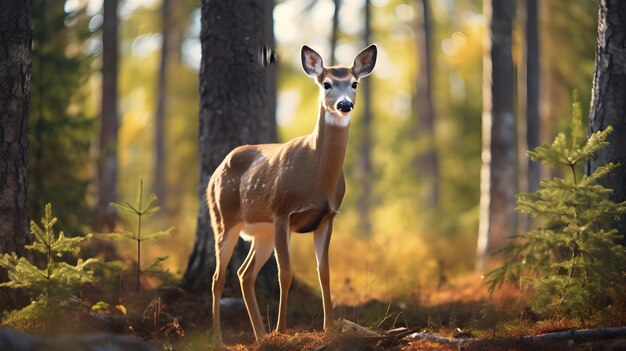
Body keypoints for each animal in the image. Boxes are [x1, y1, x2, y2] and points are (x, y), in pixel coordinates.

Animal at [208, 42, 376, 342]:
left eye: (354, 83)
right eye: (326, 84)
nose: (345, 105)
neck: (317, 180)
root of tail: (212, 176)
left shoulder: (327, 216)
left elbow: (324, 272)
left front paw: (329, 328)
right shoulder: (282, 210)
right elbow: (285, 273)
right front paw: (282, 330)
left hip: (262, 231)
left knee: (244, 273)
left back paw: (260, 336)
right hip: (224, 218)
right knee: (219, 277)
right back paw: (219, 337)